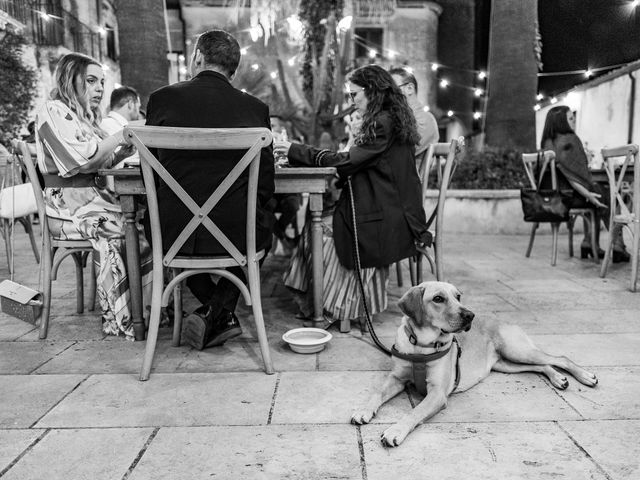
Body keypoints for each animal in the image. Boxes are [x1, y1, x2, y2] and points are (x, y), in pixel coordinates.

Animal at [350, 282, 596, 446]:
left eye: (458, 296)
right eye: (438, 299)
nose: (470, 315)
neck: (421, 345)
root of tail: (502, 319)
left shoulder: (437, 394)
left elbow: (414, 412)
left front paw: (395, 430)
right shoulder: (396, 378)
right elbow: (376, 393)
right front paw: (363, 410)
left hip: (516, 350)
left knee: (560, 358)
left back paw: (585, 376)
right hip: (506, 364)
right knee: (542, 365)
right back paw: (559, 378)